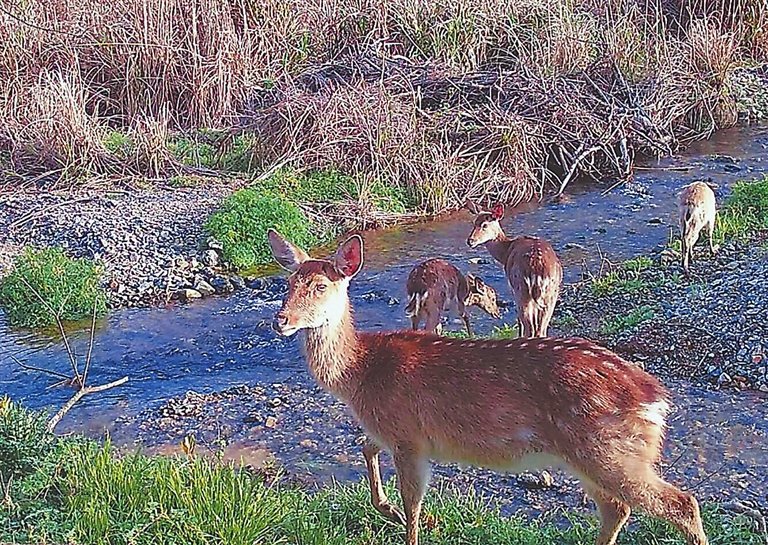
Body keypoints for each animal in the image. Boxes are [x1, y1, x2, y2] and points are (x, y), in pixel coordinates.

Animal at [268, 227, 708, 544]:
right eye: (288, 284)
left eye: (320, 286)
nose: (281, 320)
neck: (358, 373)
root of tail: (656, 399)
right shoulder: (388, 430)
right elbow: (365, 449)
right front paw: (386, 508)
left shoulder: (409, 435)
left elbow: (412, 505)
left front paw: (408, 519)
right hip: (594, 453)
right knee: (617, 508)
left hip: (607, 449)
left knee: (680, 503)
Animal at [462, 200, 564, 336]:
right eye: (474, 222)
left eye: (484, 225)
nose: (470, 241)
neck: (506, 252)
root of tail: (537, 268)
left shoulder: (512, 286)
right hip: (551, 293)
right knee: (540, 329)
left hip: (521, 288)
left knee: (529, 326)